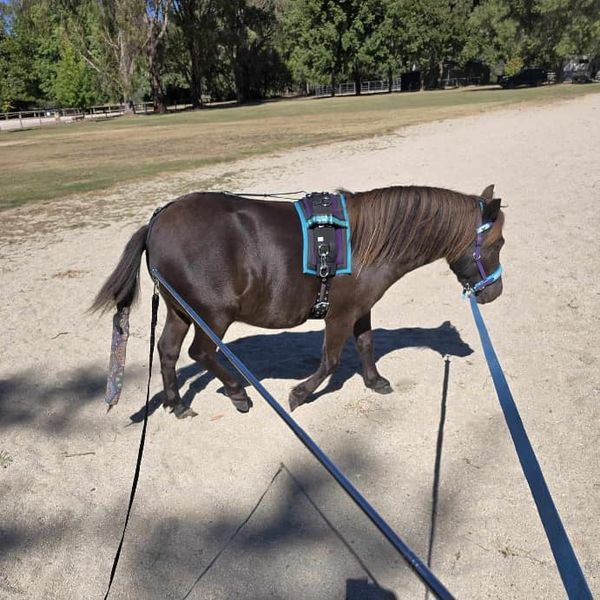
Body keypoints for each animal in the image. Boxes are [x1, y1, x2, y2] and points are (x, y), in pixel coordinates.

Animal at [94, 183, 504, 418]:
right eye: (498, 243)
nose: (494, 292)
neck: (366, 242)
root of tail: (157, 222)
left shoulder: (361, 310)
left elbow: (366, 345)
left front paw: (375, 381)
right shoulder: (339, 315)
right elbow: (331, 360)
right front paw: (300, 394)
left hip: (180, 310)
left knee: (167, 350)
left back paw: (177, 403)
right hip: (213, 314)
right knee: (201, 353)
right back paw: (237, 392)